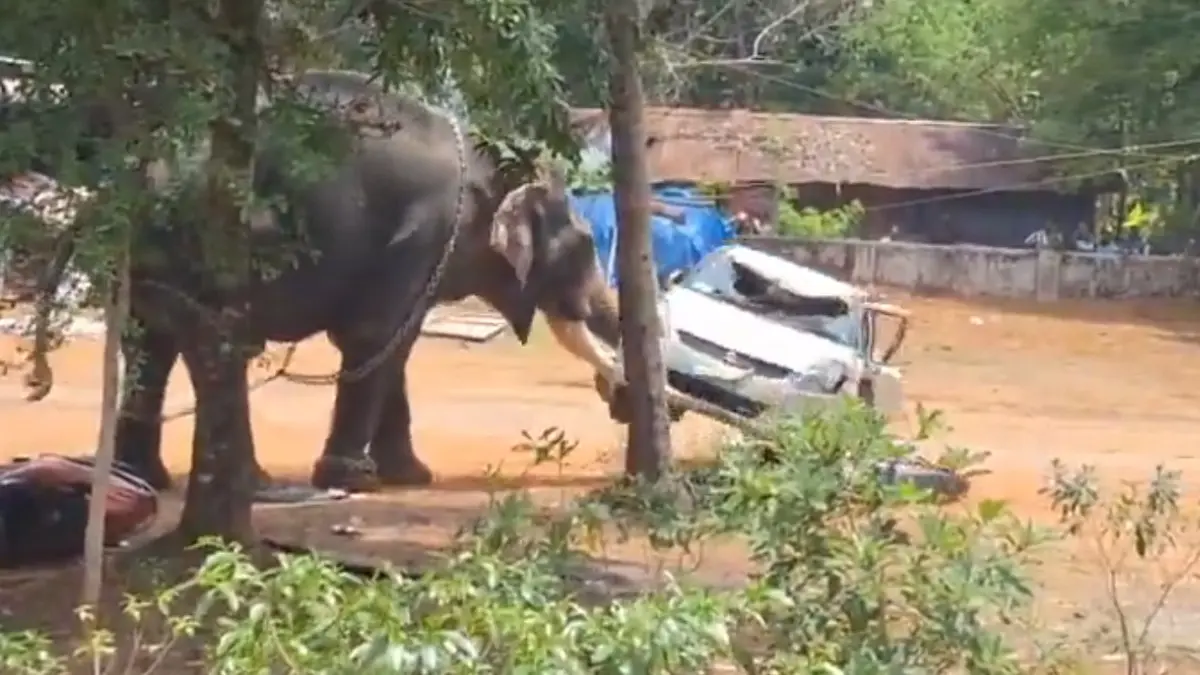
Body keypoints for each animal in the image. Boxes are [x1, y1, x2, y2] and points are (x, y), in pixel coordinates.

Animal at [17, 69, 625, 492]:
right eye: (584, 245)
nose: (619, 397)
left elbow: (394, 346)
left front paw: (410, 477)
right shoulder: (421, 232)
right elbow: (375, 337)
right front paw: (353, 481)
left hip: (152, 252)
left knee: (154, 344)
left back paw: (145, 480)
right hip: (186, 246)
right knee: (201, 343)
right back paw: (245, 484)